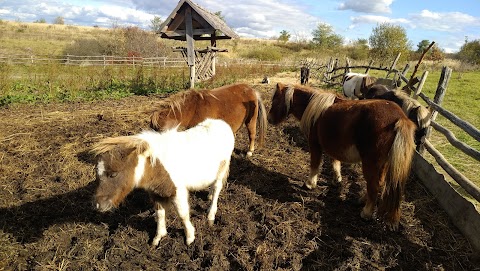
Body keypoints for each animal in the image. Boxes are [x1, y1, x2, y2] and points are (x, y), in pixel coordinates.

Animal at [92, 118, 234, 246]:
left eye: (113, 174)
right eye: (96, 173)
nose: (99, 205)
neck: (157, 167)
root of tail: (222, 124)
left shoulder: (178, 192)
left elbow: (183, 214)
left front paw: (190, 238)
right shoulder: (156, 193)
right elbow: (159, 214)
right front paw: (157, 239)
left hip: (222, 169)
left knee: (217, 187)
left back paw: (210, 216)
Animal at [266, 82, 416, 230]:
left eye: (275, 100)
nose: (269, 119)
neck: (314, 108)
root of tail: (399, 118)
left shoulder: (315, 145)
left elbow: (315, 164)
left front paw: (310, 184)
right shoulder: (333, 146)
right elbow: (335, 162)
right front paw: (336, 180)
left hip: (371, 163)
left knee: (374, 185)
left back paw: (366, 213)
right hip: (383, 164)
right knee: (378, 183)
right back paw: (362, 200)